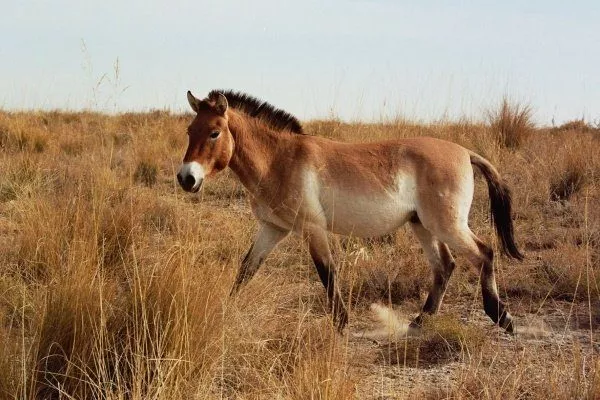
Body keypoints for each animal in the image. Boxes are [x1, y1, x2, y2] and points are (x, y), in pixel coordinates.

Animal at [176, 90, 524, 334]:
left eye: (214, 133)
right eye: (190, 131)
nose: (186, 178)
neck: (279, 160)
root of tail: (465, 152)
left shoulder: (313, 229)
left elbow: (327, 274)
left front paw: (341, 326)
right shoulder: (273, 229)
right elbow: (246, 270)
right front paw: (225, 312)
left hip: (447, 225)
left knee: (483, 254)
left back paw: (502, 317)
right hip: (423, 226)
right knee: (445, 266)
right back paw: (420, 322)